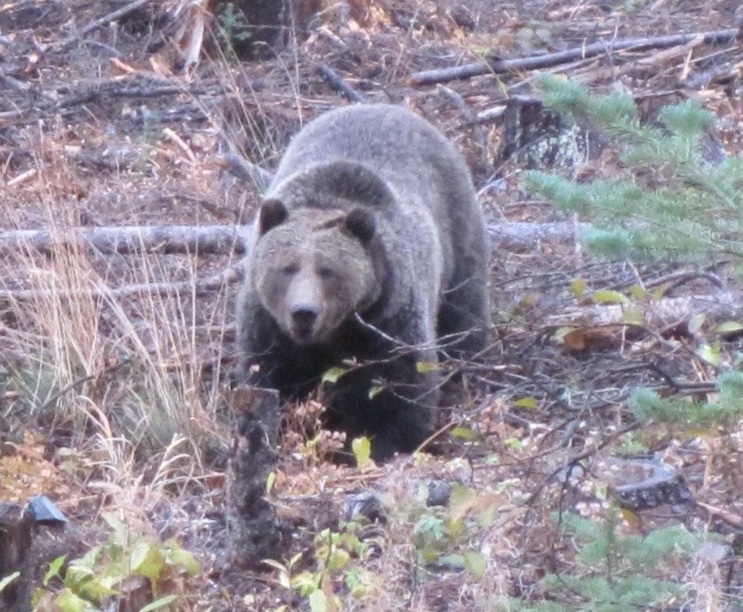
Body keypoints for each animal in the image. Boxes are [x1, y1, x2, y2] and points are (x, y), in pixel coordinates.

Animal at [235, 103, 490, 463]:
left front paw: (382, 444)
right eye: (287, 267)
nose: (303, 312)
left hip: (458, 234)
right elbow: (266, 379)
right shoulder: (269, 326)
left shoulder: (388, 321)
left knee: (464, 312)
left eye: (327, 270)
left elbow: (403, 388)